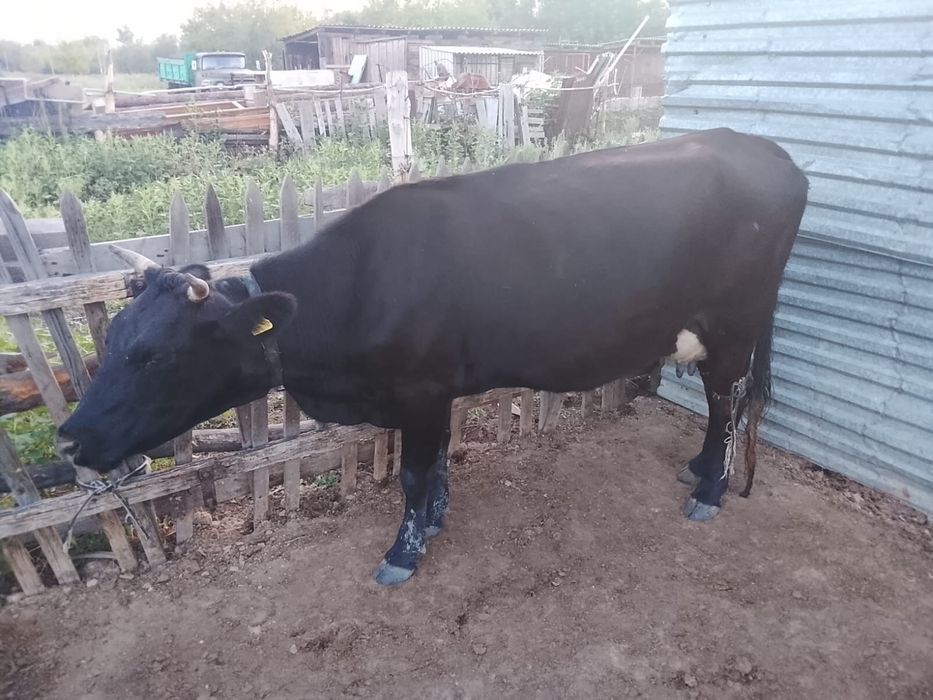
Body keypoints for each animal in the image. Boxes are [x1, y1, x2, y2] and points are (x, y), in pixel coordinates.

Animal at [56, 128, 809, 586]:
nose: (67, 440)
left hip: (733, 326)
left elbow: (414, 475)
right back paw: (697, 470)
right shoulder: (435, 392)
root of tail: (764, 149)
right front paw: (436, 519)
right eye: (114, 339)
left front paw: (403, 552)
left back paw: (709, 491)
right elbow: (438, 464)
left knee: (725, 404)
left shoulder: (419, 390)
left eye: (153, 355)